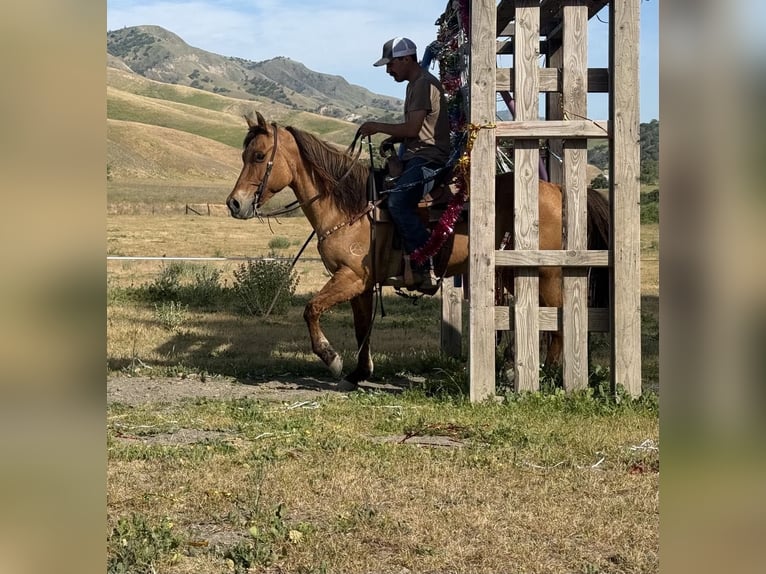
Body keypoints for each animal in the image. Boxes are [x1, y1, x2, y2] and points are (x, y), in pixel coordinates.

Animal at [226, 111, 609, 391]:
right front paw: (359, 371)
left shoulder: (351, 277)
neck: (351, 206)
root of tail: (559, 189)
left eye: (259, 156)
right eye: (243, 155)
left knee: (558, 321)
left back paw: (550, 374)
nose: (235, 203)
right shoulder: (361, 284)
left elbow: (311, 309)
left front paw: (331, 358)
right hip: (515, 273)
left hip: (547, 271)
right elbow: (361, 327)